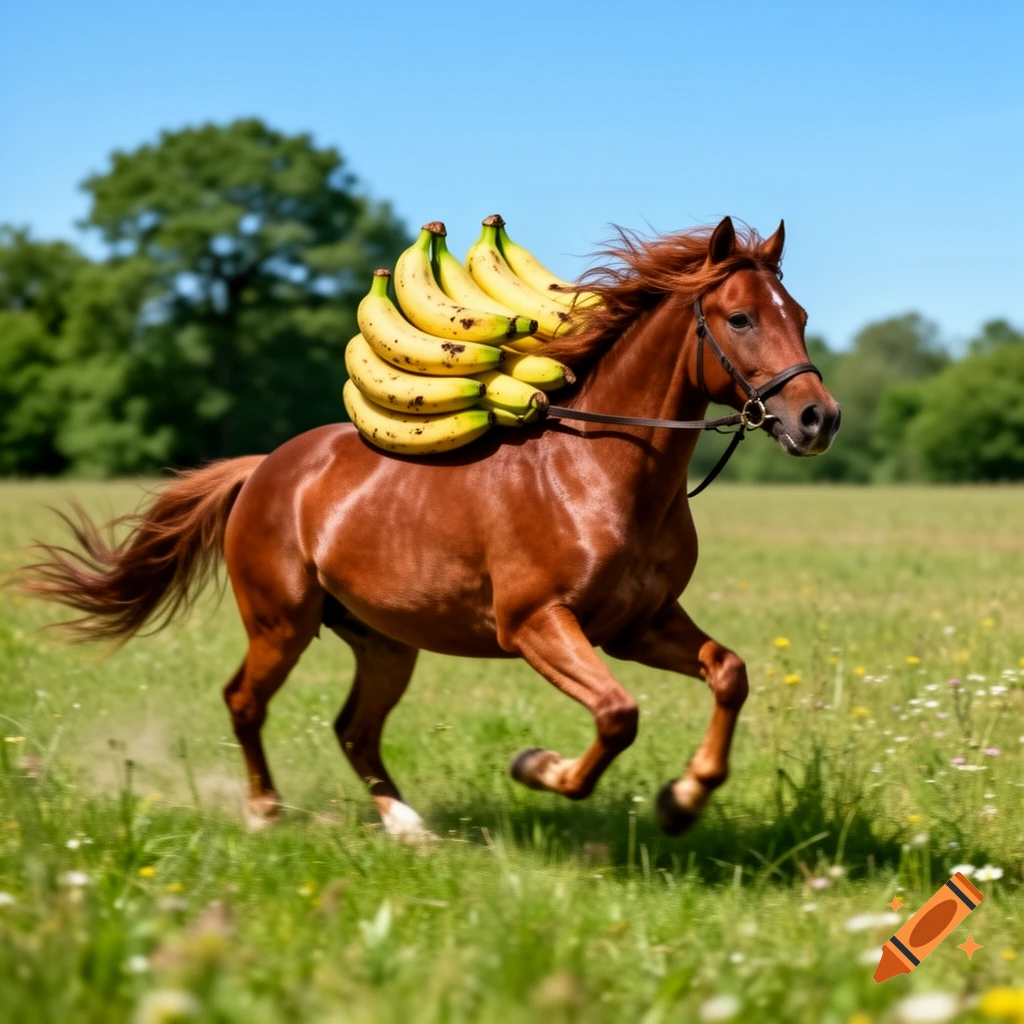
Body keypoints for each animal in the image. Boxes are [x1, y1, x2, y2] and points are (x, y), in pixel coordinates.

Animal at [20, 216, 840, 839]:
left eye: (798, 316)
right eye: (740, 317)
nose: (817, 419)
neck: (603, 473)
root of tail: (263, 469)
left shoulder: (638, 624)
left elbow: (728, 673)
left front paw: (682, 800)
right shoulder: (536, 623)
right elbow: (617, 715)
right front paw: (538, 767)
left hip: (385, 642)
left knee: (353, 728)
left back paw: (407, 825)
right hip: (281, 623)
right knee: (245, 702)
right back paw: (264, 811)